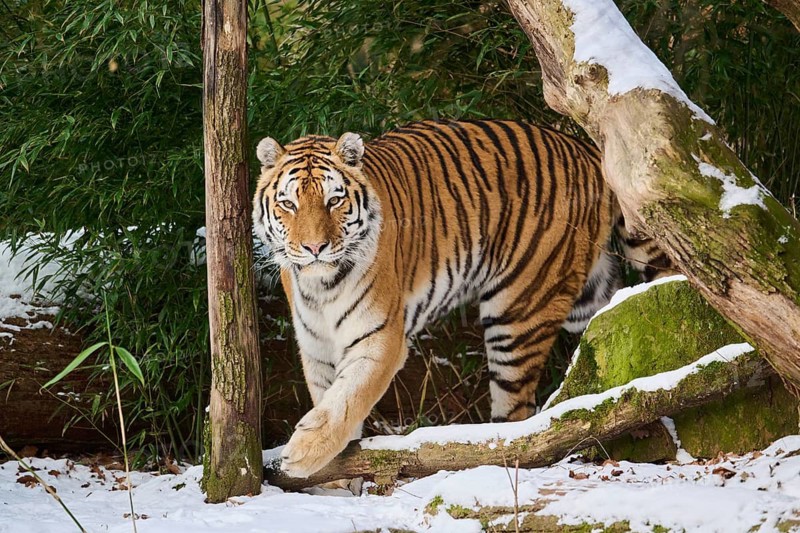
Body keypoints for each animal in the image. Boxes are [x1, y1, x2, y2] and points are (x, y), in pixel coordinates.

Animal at [251, 119, 672, 478]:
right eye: (288, 204)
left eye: (333, 201)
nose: (314, 248)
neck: (321, 287)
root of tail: (585, 149)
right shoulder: (316, 347)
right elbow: (330, 397)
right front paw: (335, 479)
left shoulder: (379, 338)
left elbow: (346, 399)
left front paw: (302, 453)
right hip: (588, 296)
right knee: (621, 326)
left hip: (518, 311)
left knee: (519, 414)